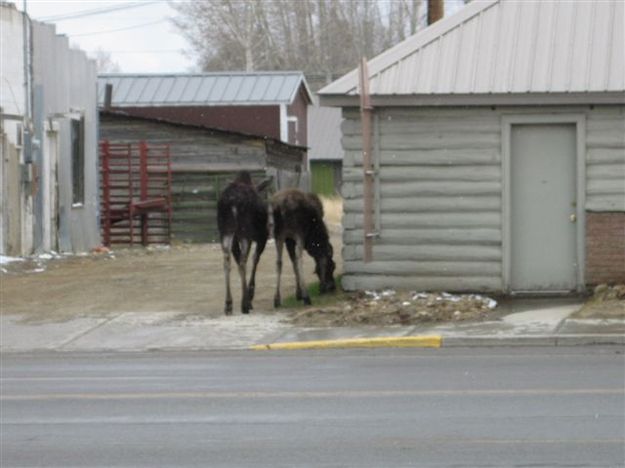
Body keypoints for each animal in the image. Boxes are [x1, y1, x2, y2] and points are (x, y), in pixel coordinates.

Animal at [217, 172, 270, 314]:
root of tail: (232, 202)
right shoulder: (262, 237)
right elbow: (255, 259)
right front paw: (250, 295)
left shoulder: (236, 240)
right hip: (244, 232)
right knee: (242, 261)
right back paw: (244, 304)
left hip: (226, 231)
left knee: (227, 261)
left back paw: (228, 304)